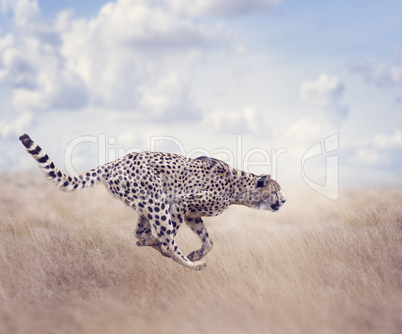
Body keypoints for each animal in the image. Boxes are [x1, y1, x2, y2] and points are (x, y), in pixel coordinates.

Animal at [18, 134, 282, 270]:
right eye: (277, 191)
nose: (284, 201)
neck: (239, 186)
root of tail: (116, 161)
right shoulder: (181, 202)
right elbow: (171, 237)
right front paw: (191, 258)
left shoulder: (193, 214)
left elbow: (209, 241)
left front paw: (197, 253)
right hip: (157, 201)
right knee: (163, 240)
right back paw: (189, 264)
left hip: (145, 204)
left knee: (139, 233)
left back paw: (156, 244)